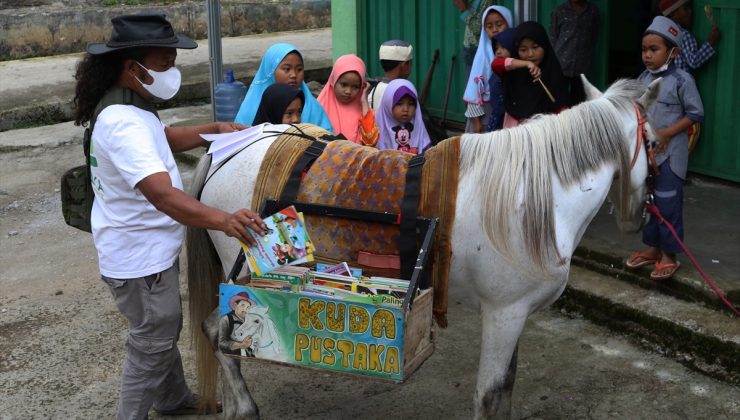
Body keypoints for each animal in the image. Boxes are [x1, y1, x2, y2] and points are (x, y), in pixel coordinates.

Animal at [185, 77, 660, 418]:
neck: (534, 198)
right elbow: (490, 395)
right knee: (219, 332)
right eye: (654, 142)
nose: (638, 219)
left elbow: (505, 389)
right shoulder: (504, 314)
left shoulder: (515, 315)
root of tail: (228, 148)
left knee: (214, 330)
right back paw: (245, 408)